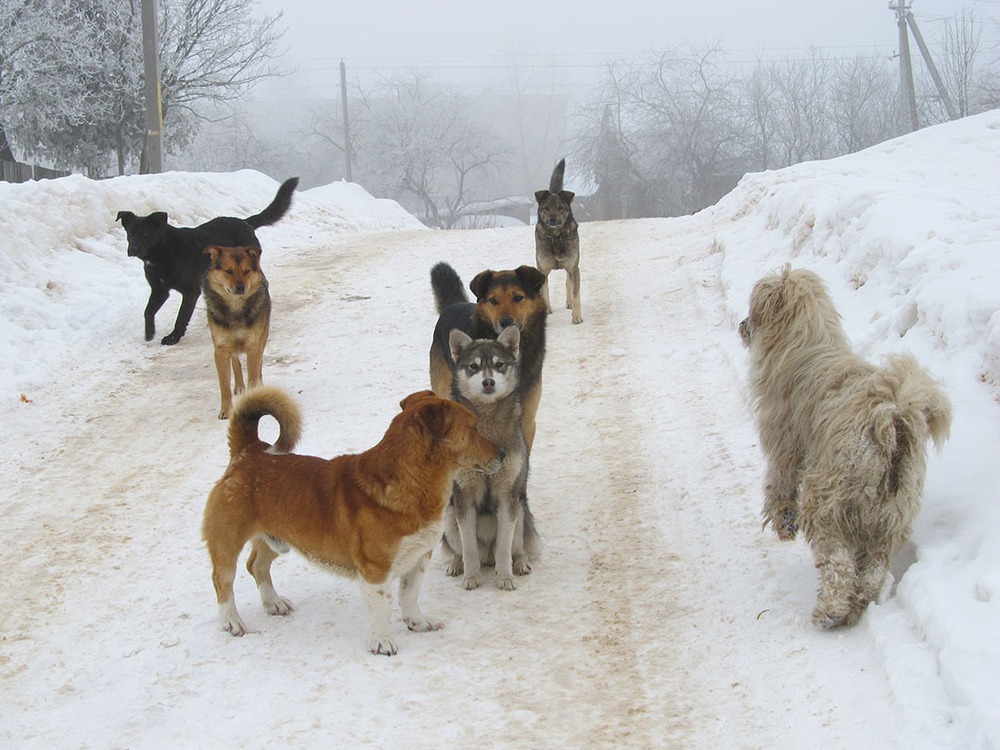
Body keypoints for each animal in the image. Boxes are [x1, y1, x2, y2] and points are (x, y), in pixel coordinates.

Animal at [117, 179, 296, 346]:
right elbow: (148, 311)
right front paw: (149, 333)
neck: (163, 252)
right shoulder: (159, 290)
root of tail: (246, 222)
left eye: (145, 233)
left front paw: (173, 337)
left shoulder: (190, 291)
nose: (132, 249)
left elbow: (181, 316)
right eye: (130, 232)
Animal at [201, 247, 270, 424]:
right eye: (228, 271)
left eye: (246, 271)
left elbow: (253, 376)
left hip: (263, 337)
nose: (240, 287)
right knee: (236, 361)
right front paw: (226, 410)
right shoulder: (221, 349)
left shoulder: (254, 345)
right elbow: (224, 384)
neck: (236, 309)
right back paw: (239, 386)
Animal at [202, 384, 504, 656]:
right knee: (222, 580)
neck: (411, 481)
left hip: (275, 539)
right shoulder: (376, 570)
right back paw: (232, 621)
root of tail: (249, 450)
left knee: (257, 566)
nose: (502, 455)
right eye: (473, 428)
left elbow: (409, 596)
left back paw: (274, 603)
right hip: (227, 542)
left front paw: (417, 622)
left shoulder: (418, 558)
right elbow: (383, 607)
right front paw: (382, 642)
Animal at [426, 264, 544, 450]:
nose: (505, 322)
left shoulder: (526, 419)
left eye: (518, 297)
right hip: (444, 388)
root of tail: (452, 305)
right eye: (493, 300)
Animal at [740, 268, 948, 632]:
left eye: (753, 310)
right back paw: (855, 606)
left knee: (838, 564)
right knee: (873, 569)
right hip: (891, 516)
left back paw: (830, 611)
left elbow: (779, 481)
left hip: (827, 501)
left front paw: (783, 522)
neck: (805, 343)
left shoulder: (784, 439)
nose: (741, 325)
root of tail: (893, 420)